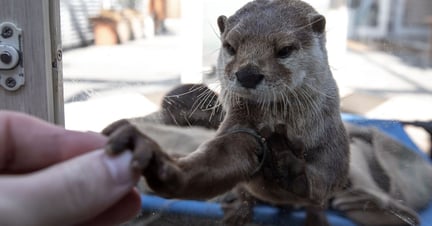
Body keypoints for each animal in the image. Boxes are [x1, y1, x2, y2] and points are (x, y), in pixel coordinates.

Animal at [103, 0, 350, 225]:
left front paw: (289, 168)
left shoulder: (332, 143)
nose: (247, 74)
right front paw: (161, 163)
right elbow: (220, 160)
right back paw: (239, 208)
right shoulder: (239, 125)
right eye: (230, 46)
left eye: (285, 50)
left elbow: (325, 183)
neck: (288, 125)